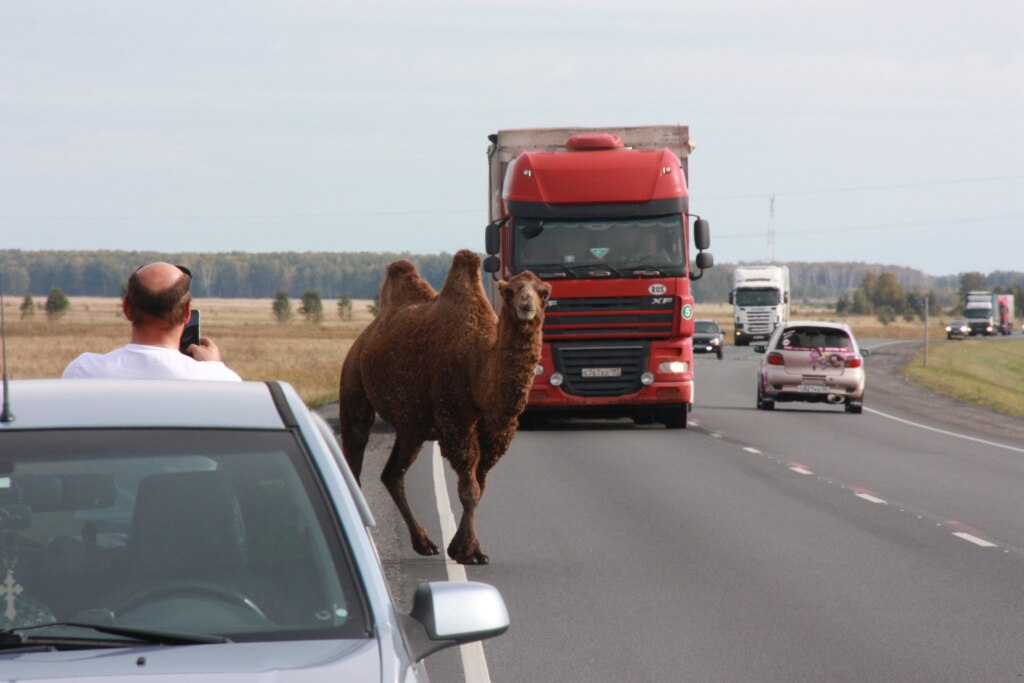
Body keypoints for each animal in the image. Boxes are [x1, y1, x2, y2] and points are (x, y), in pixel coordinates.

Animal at [339, 249, 550, 564]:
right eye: (509, 292)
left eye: (544, 293)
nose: (527, 305)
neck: (478, 367)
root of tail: (363, 338)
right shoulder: (456, 421)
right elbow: (469, 489)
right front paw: (469, 551)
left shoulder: (494, 433)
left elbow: (479, 485)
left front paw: (461, 547)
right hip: (353, 384)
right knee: (354, 454)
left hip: (411, 427)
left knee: (392, 474)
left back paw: (424, 543)